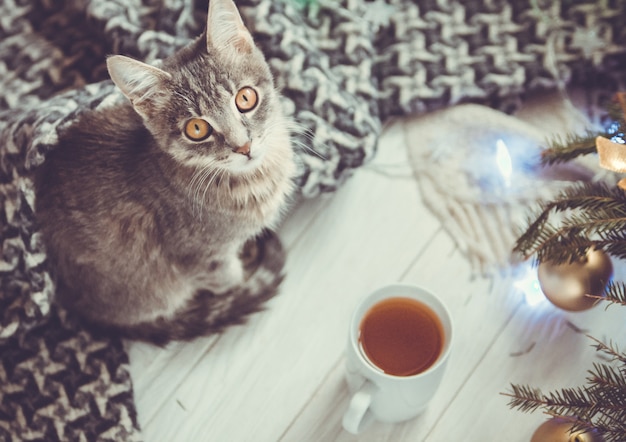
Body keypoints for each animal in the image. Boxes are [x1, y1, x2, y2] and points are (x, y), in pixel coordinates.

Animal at [34, 0, 294, 346]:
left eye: (245, 98)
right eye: (196, 129)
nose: (243, 146)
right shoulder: (203, 258)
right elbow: (230, 280)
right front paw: (241, 282)